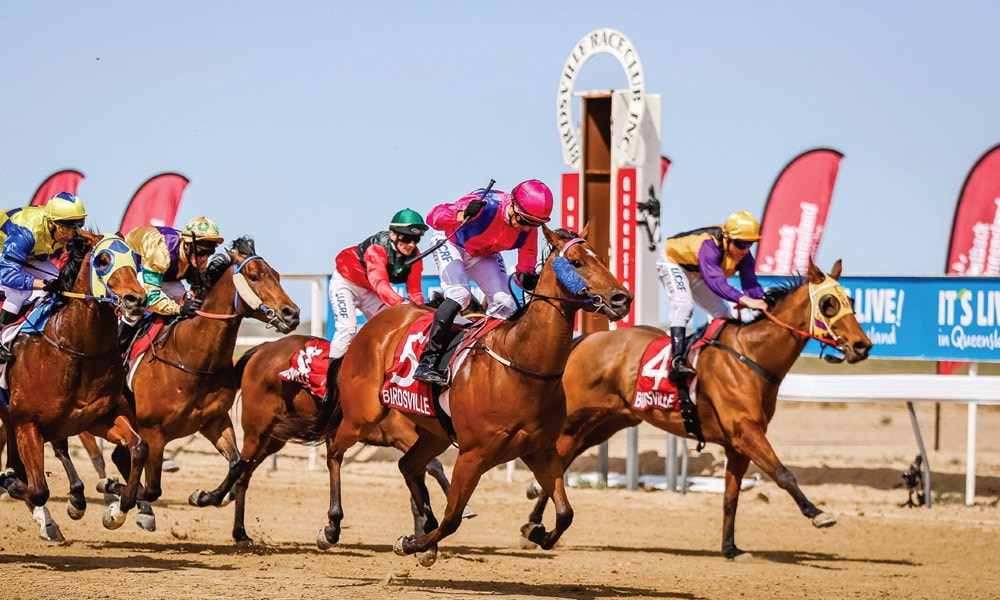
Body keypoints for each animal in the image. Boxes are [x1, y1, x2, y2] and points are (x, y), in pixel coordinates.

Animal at [0, 231, 148, 540]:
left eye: (136, 258)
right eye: (103, 260)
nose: (136, 300)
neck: (75, 349)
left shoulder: (100, 417)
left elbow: (139, 448)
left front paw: (114, 511)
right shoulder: (27, 424)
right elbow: (38, 490)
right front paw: (12, 485)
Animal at [109, 234, 298, 528]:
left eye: (277, 275)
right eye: (254, 276)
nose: (292, 313)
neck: (192, 359)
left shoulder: (214, 420)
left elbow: (237, 464)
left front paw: (203, 496)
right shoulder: (154, 432)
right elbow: (152, 488)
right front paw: (115, 496)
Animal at [290, 226, 632, 568]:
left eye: (602, 259)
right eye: (576, 262)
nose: (622, 298)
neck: (519, 365)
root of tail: (372, 326)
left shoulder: (541, 451)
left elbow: (565, 513)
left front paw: (533, 531)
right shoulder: (473, 455)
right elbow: (452, 518)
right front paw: (412, 543)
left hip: (435, 433)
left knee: (408, 465)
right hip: (363, 414)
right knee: (335, 450)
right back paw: (332, 527)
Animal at [524, 260, 868, 560]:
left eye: (850, 299)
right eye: (828, 304)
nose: (862, 345)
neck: (752, 357)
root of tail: (586, 339)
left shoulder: (737, 446)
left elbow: (731, 498)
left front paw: (731, 549)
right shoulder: (746, 432)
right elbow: (783, 474)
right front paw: (818, 513)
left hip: (601, 424)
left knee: (560, 461)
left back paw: (534, 524)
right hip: (573, 420)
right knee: (554, 461)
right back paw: (535, 521)